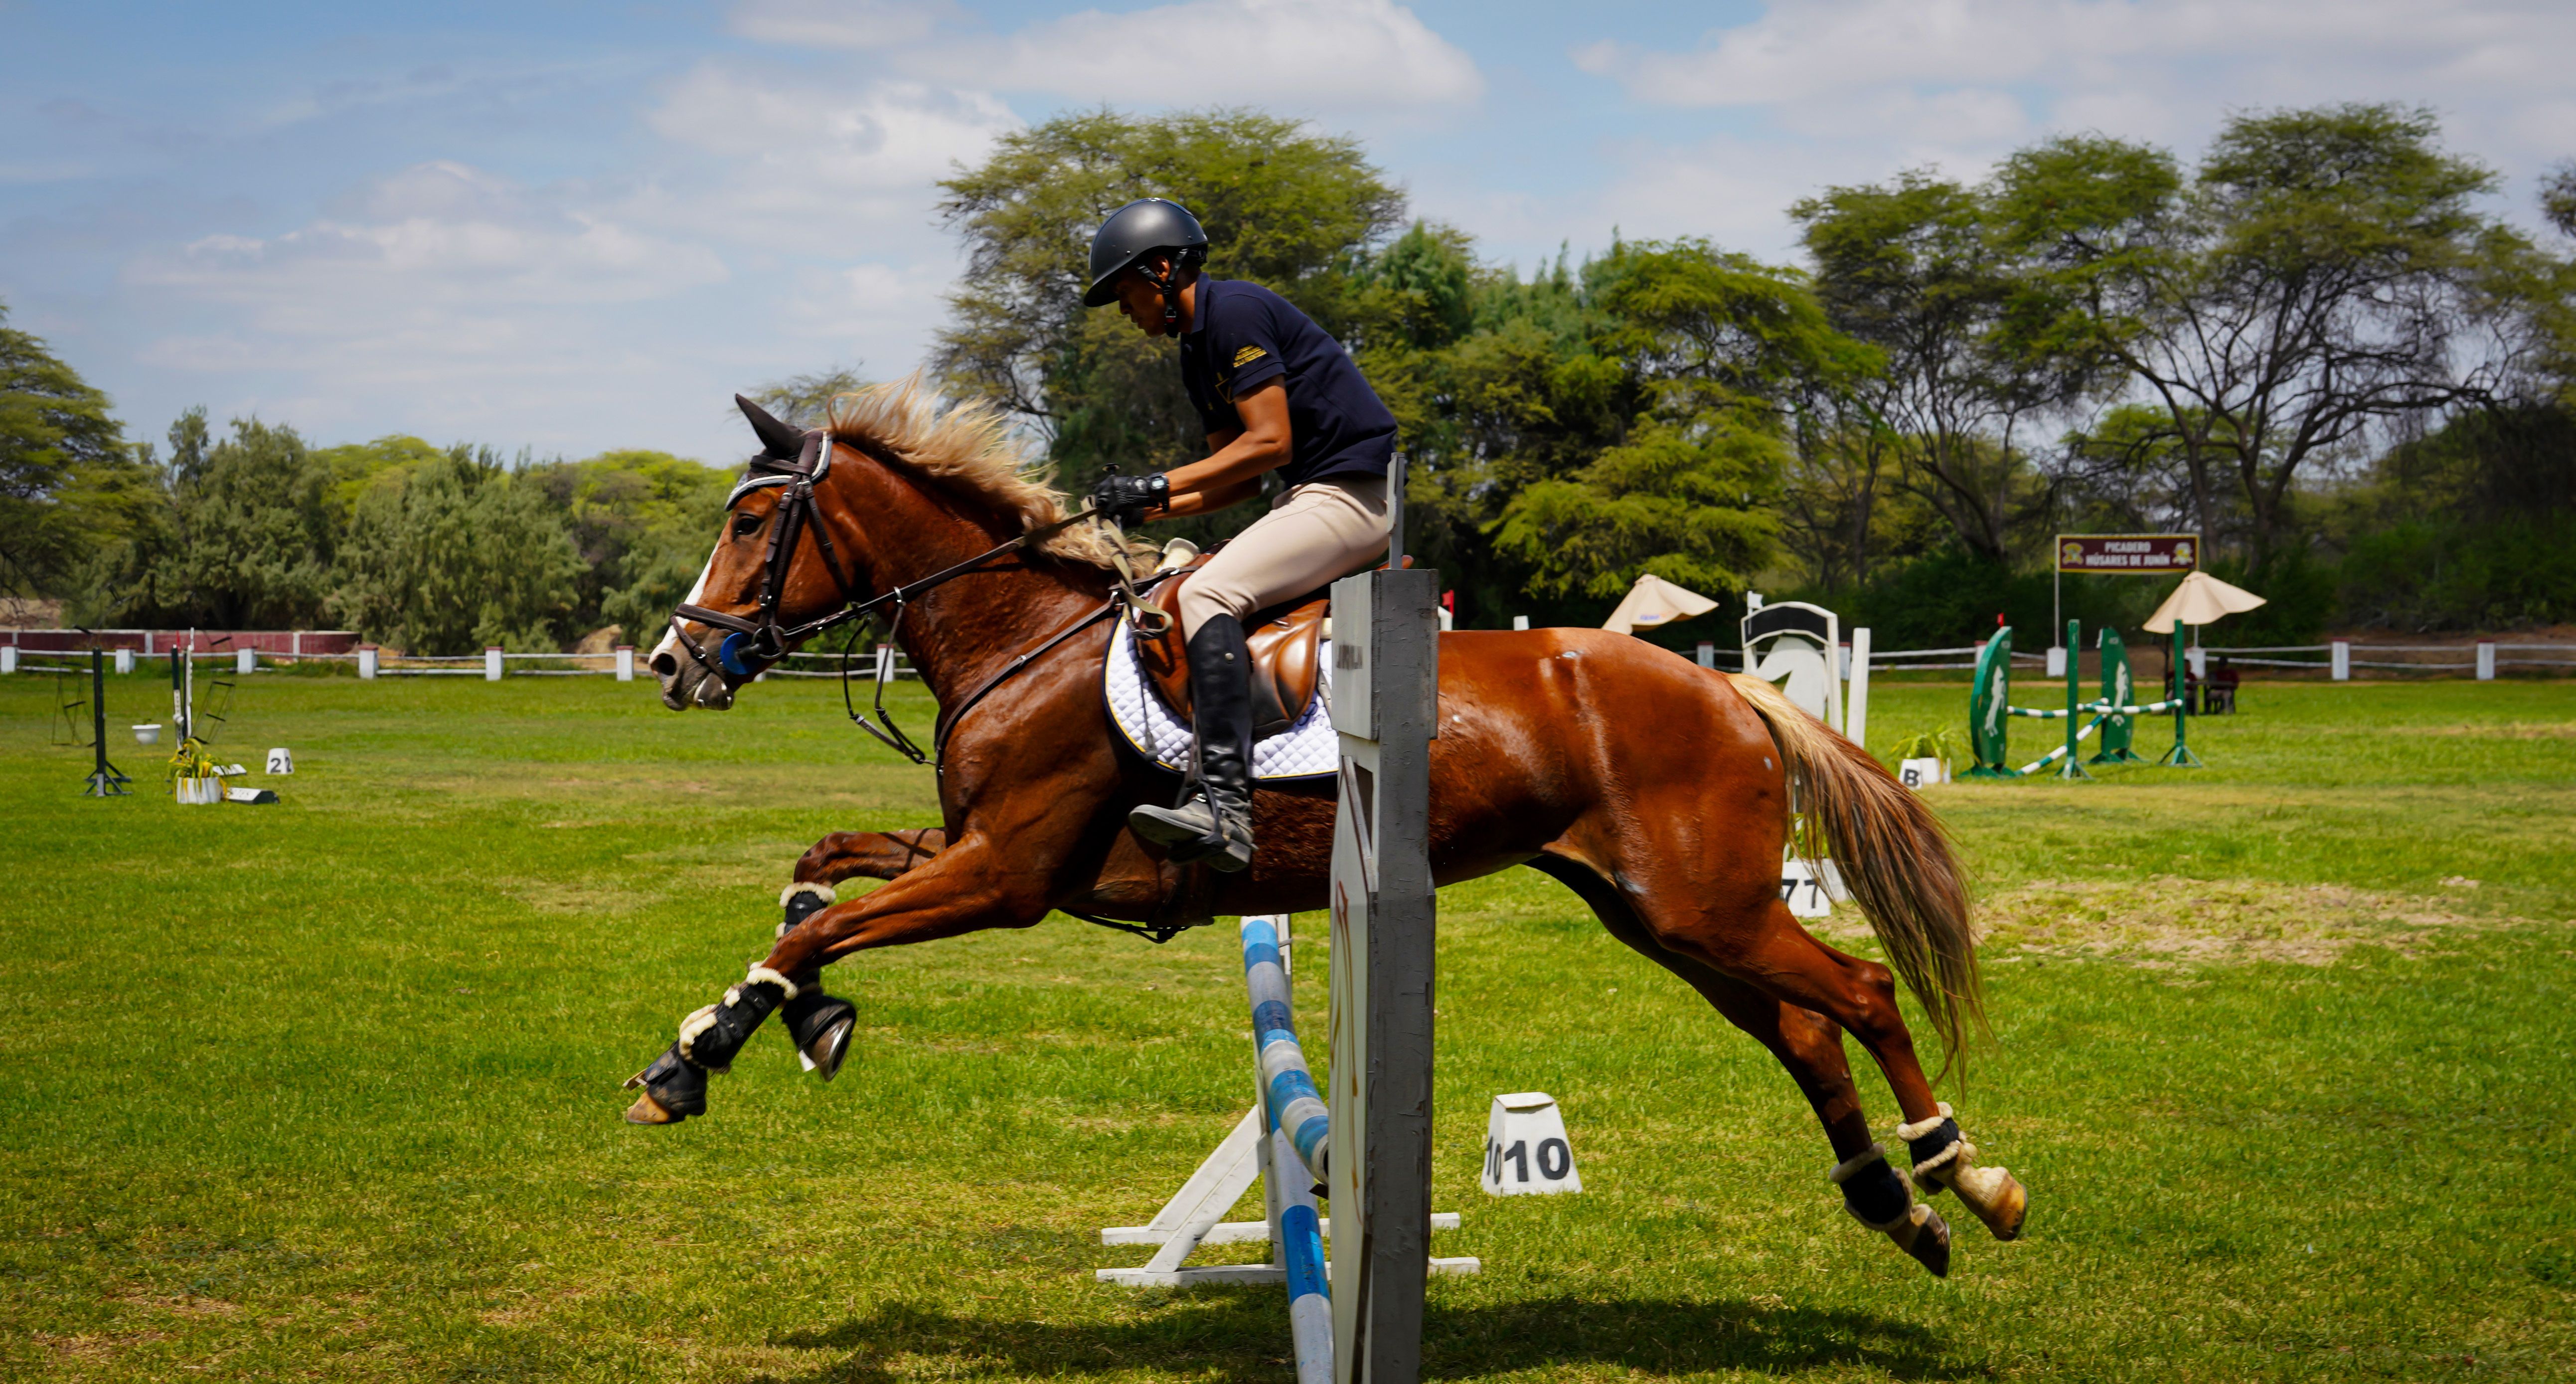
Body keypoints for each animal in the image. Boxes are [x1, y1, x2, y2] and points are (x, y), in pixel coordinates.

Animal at [629, 380, 2027, 1276]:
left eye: (748, 523)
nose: (669, 665)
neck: (1023, 641)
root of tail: (1725, 686)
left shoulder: (1006, 875)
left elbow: (821, 930)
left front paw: (697, 1059)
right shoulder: (973, 852)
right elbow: (816, 884)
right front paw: (789, 1026)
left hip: (1706, 906)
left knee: (1858, 990)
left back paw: (1964, 1173)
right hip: (1665, 917)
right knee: (1802, 1024)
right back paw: (1896, 1208)